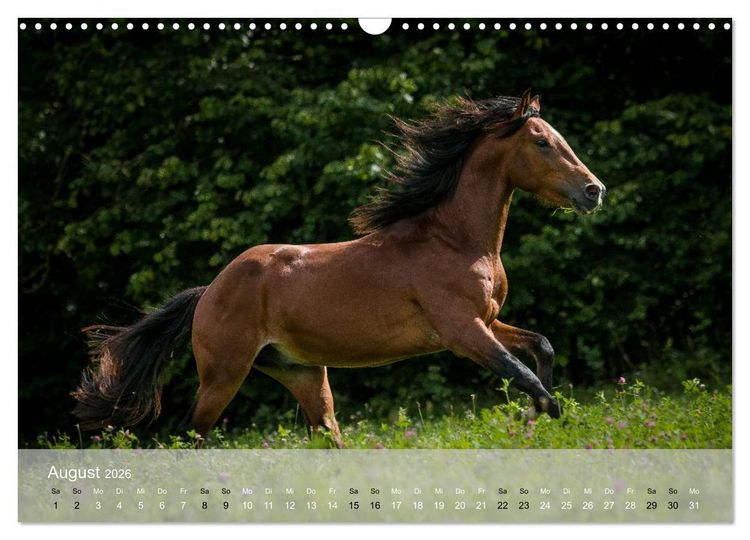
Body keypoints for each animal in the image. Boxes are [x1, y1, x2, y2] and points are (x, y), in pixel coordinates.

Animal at [73, 91, 605, 448]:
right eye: (541, 142)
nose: (593, 191)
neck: (456, 241)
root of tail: (208, 291)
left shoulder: (489, 321)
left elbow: (541, 346)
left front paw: (540, 413)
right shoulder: (462, 331)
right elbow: (522, 372)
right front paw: (546, 416)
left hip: (304, 375)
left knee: (326, 437)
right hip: (223, 376)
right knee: (189, 436)